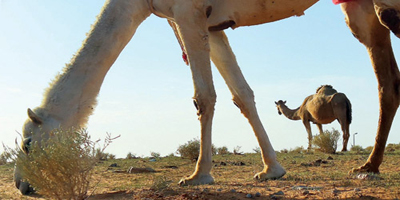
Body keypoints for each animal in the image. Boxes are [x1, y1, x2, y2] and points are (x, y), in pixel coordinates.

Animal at [12, 0, 400, 195]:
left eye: (27, 143)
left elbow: (204, 96)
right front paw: (271, 170)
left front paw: (198, 175)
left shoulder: (187, 12)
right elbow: (241, 95)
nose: (21, 185)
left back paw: (368, 166)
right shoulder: (211, 24)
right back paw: (368, 166)